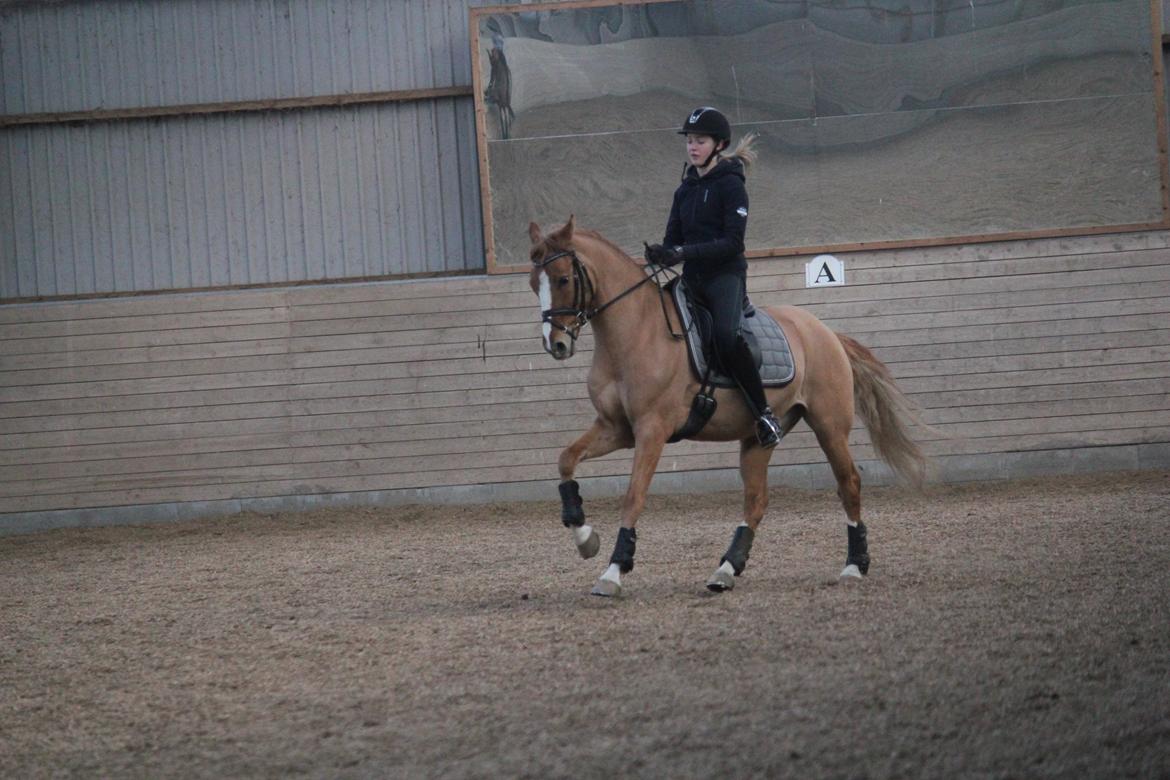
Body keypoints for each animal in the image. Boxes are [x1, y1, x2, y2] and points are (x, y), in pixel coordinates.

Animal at [527, 217, 929, 597]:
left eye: (563, 279)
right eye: (534, 284)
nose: (556, 344)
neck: (635, 333)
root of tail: (825, 332)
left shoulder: (651, 430)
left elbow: (633, 496)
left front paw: (612, 572)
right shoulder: (616, 428)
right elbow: (566, 460)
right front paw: (585, 538)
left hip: (829, 427)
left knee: (849, 484)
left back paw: (854, 566)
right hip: (757, 439)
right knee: (756, 500)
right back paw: (725, 571)